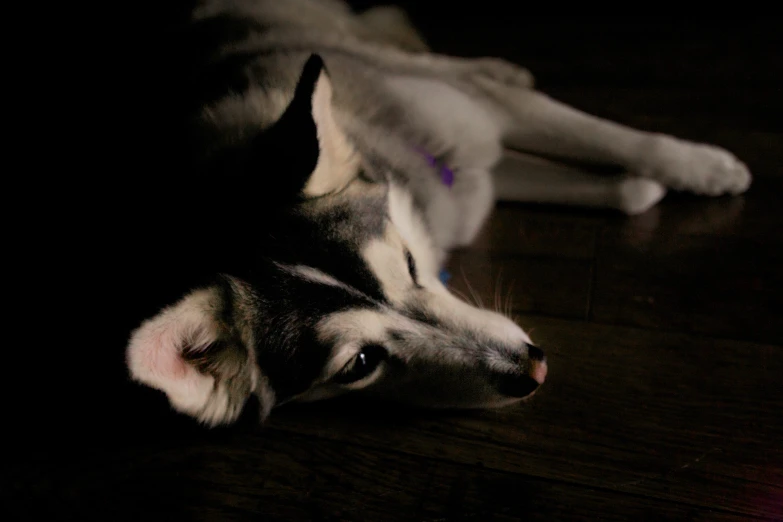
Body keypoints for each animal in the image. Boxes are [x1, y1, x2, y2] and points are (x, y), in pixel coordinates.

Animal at [124, 0, 752, 424]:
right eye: (361, 364)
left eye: (407, 262)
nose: (533, 369)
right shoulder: (475, 174)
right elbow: (614, 186)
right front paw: (646, 186)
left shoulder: (489, 119)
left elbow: (615, 138)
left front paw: (706, 167)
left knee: (427, 49)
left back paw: (498, 65)